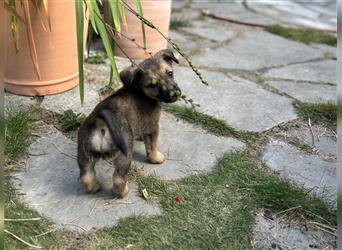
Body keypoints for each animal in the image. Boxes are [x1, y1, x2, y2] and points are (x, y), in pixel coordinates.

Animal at [76, 48, 180, 197]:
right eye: (153, 84)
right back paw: (123, 192)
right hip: (124, 155)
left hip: (84, 154)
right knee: (118, 178)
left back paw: (95, 187)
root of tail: (101, 124)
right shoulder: (152, 127)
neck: (140, 91)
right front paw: (156, 158)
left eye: (170, 73)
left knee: (86, 176)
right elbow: (152, 145)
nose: (175, 93)